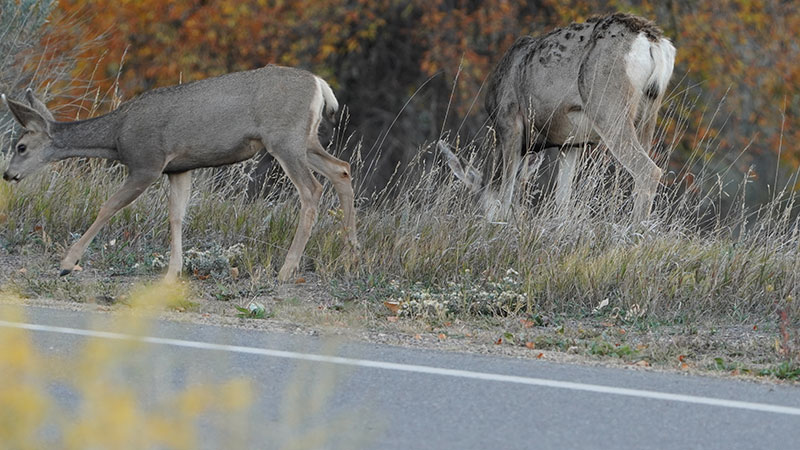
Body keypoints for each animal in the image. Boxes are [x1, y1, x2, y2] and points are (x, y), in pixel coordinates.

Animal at [2, 64, 360, 282]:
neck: (116, 137)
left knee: (312, 190)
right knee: (341, 170)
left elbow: (109, 206)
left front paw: (67, 264)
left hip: (283, 139)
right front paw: (173, 272)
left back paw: (287, 269)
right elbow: (176, 215)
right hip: (304, 140)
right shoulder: (179, 168)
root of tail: (320, 85)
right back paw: (349, 258)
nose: (7, 175)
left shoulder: (147, 162)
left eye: (21, 147)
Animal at [440, 14, 680, 223]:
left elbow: (504, 192)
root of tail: (653, 41)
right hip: (648, 113)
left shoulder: (509, 121)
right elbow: (562, 201)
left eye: (477, 206)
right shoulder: (571, 143)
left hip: (608, 106)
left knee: (648, 170)